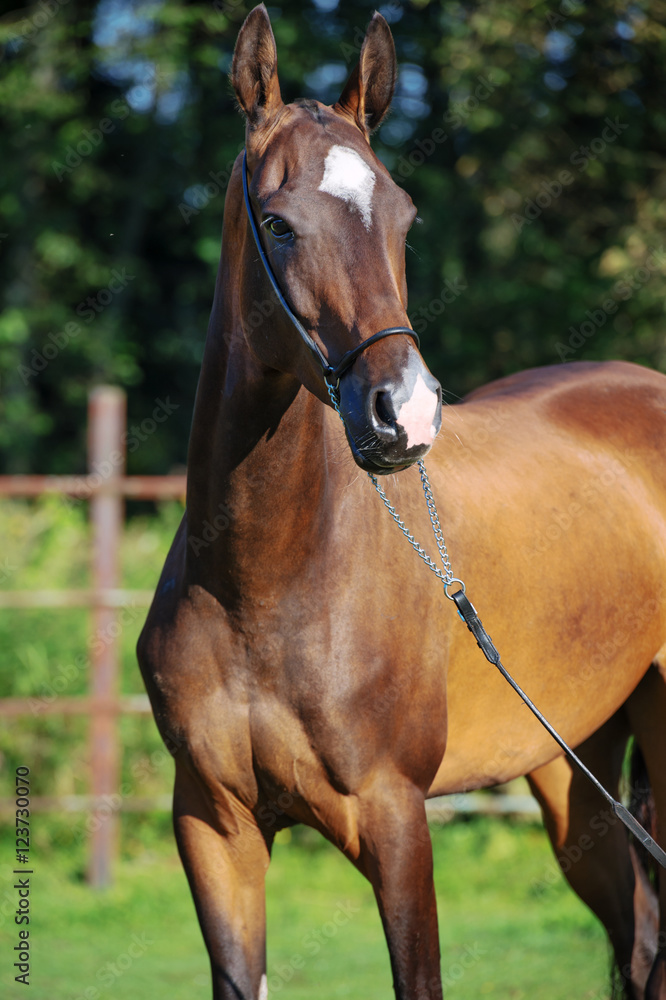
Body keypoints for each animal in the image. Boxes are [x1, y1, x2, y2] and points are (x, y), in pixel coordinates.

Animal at [137, 6, 666, 998]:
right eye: (279, 223)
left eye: (404, 216)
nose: (406, 410)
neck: (267, 582)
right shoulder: (215, 828)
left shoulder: (395, 820)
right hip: (575, 778)